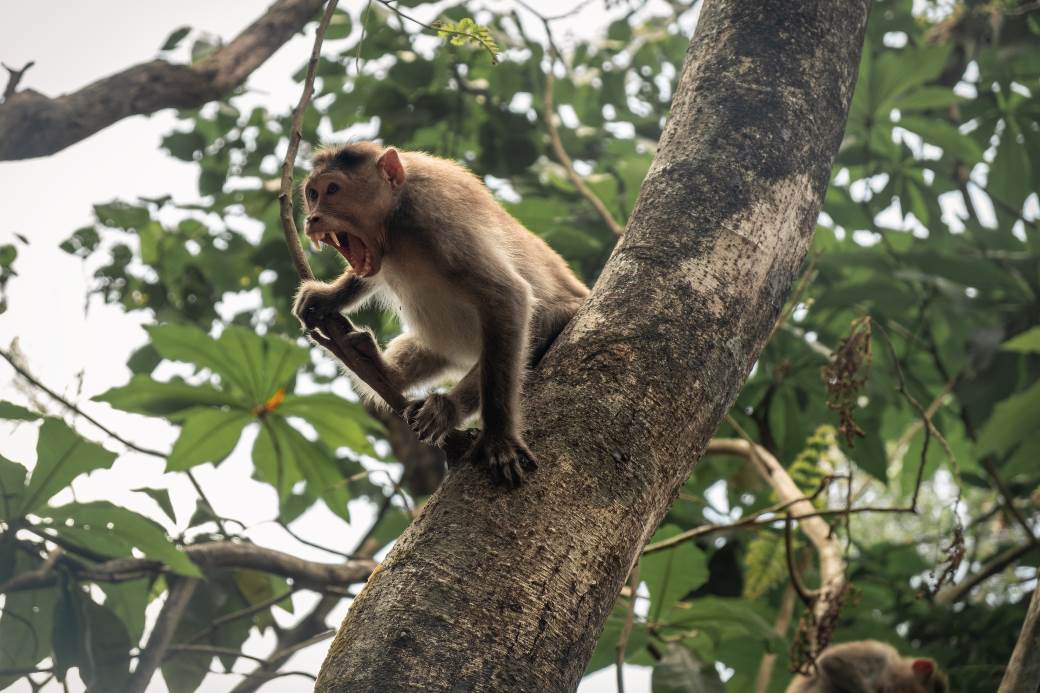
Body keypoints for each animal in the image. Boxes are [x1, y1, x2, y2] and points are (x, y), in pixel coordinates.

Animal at [293, 141, 590, 484]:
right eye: (313, 194)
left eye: (332, 189)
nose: (313, 218)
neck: (394, 222)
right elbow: (366, 276)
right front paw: (328, 297)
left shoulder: (435, 219)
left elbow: (506, 297)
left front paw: (499, 437)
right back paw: (376, 367)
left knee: (533, 328)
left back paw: (445, 409)